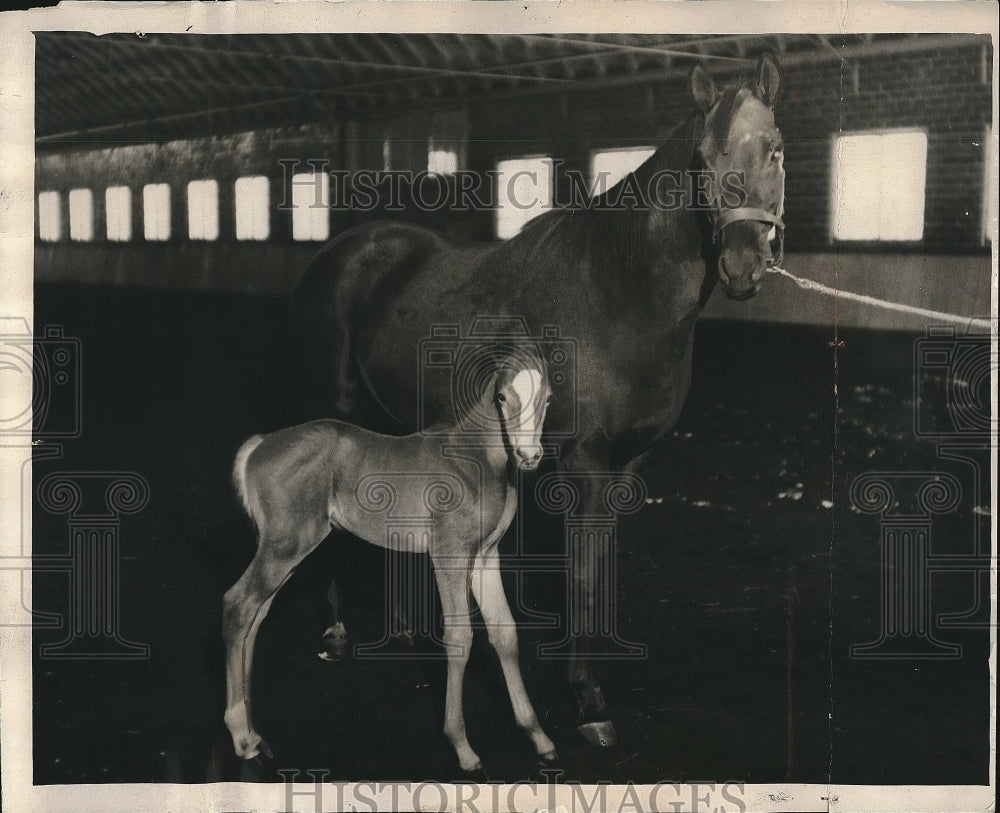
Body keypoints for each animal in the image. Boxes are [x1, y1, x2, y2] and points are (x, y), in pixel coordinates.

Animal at [222, 346, 560, 772]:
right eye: (501, 397)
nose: (529, 455)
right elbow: (459, 638)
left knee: (255, 615)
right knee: (237, 605)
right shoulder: (449, 554)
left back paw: (253, 731)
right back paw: (240, 734)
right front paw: (462, 747)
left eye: (547, 399)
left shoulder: (485, 557)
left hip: (286, 549)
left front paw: (538, 736)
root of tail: (258, 446)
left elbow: (505, 633)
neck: (475, 458)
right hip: (287, 544)